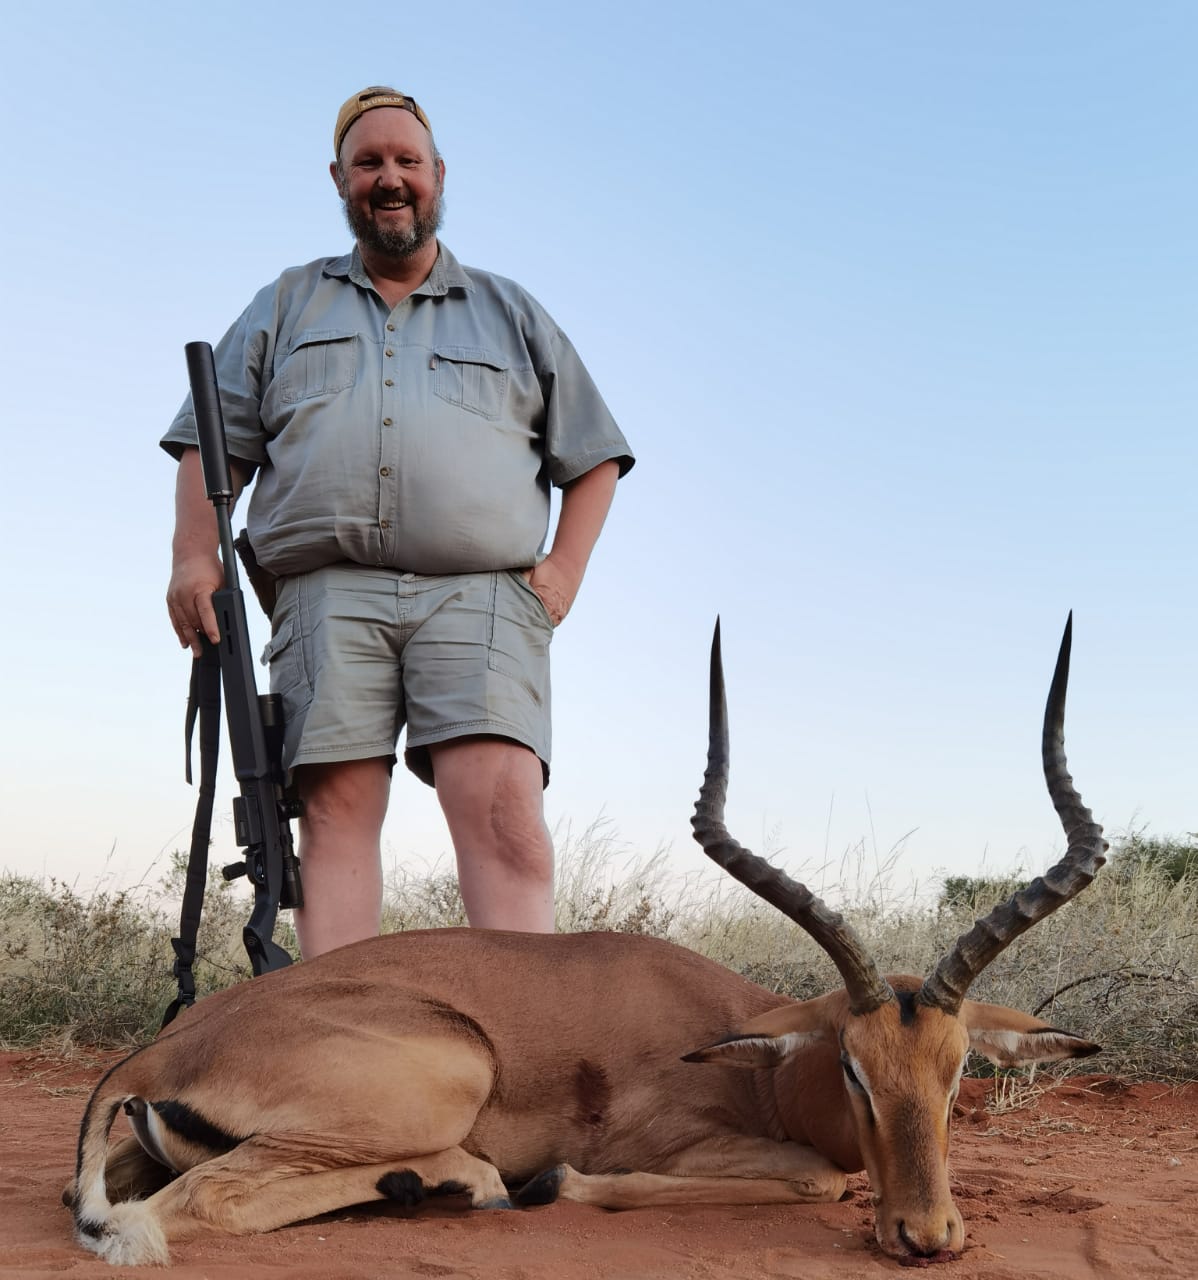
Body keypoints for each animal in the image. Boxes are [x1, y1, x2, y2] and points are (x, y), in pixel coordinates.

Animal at [69, 616, 1106, 1266]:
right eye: (853, 1066)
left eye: (960, 1069)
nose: (928, 1237)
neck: (756, 1062)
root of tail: (159, 1054)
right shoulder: (685, 1147)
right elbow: (815, 1181)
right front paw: (557, 1181)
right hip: (440, 1082)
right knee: (189, 1206)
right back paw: (467, 1182)